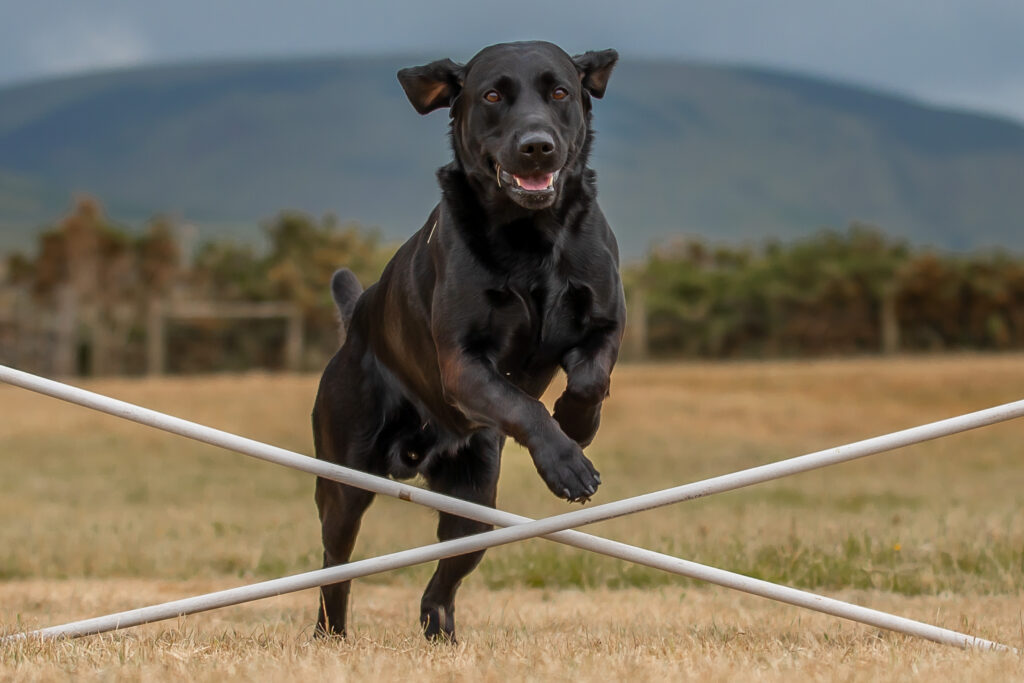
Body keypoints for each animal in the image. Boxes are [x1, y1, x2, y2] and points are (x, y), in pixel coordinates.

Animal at [312, 41, 624, 642]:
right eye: (493, 96)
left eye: (560, 91)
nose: (537, 147)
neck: (532, 236)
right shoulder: (462, 363)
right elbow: (523, 405)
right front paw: (566, 463)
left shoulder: (604, 322)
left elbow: (590, 380)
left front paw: (577, 425)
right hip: (345, 481)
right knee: (334, 567)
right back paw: (329, 635)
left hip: (476, 503)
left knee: (444, 578)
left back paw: (440, 632)